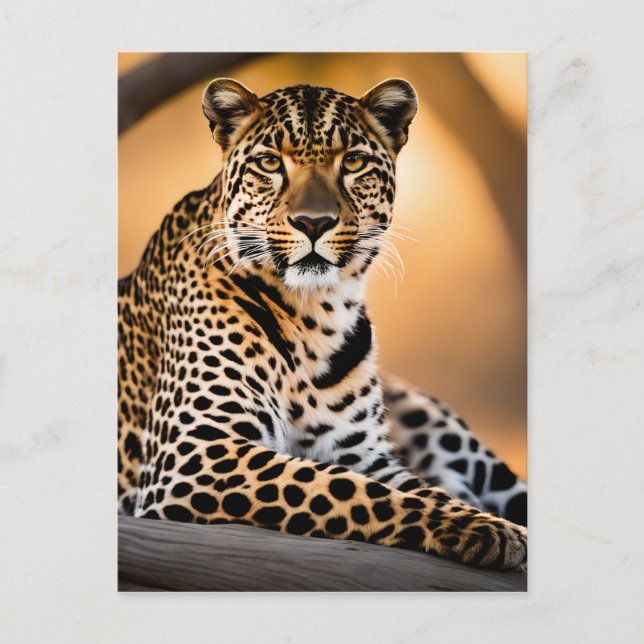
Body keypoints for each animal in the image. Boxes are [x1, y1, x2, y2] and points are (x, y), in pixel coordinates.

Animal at [118, 76, 528, 571]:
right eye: (270, 163)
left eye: (352, 161)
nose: (313, 223)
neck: (317, 315)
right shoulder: (195, 454)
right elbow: (343, 487)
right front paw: (488, 529)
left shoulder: (367, 454)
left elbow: (417, 489)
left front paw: (487, 522)